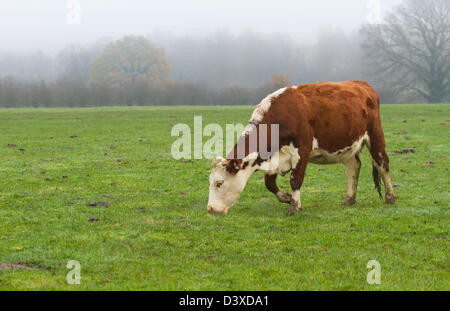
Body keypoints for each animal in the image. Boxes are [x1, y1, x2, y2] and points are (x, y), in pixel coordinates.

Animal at [206, 81, 396, 217]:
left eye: (219, 182)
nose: (211, 208)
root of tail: (362, 84)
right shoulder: (275, 156)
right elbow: (269, 183)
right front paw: (286, 197)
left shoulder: (302, 152)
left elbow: (295, 180)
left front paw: (294, 206)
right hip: (348, 145)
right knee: (353, 168)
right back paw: (349, 199)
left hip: (375, 135)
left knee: (382, 163)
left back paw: (390, 197)